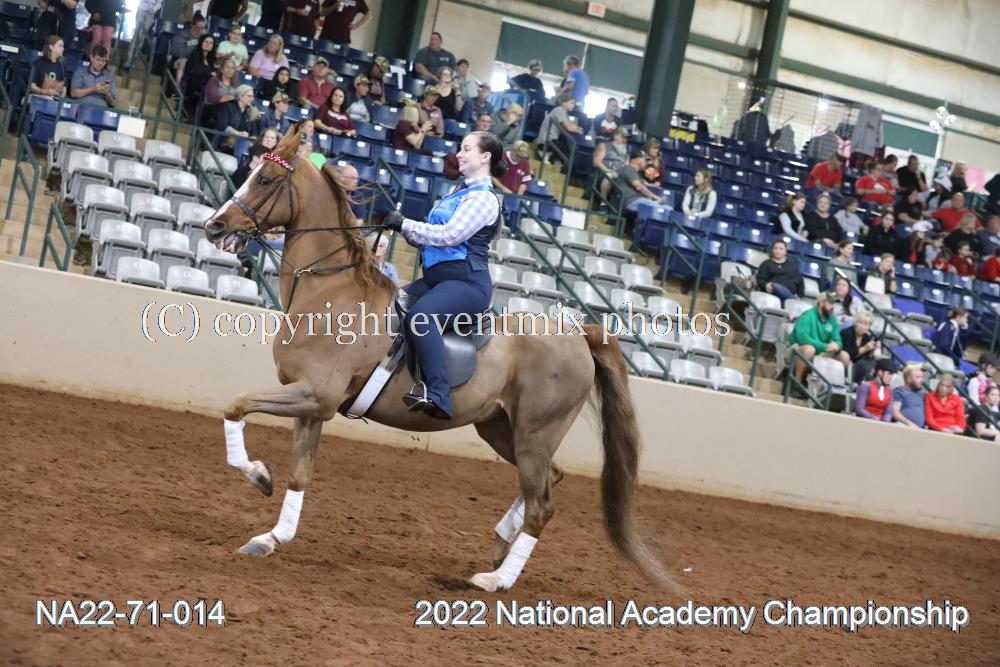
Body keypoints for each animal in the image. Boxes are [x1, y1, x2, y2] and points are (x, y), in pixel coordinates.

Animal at [203, 128, 669, 592]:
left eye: (265, 179)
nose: (214, 225)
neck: (330, 292)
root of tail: (577, 335)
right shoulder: (312, 406)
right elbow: (299, 472)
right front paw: (270, 537)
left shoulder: (316, 396)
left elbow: (236, 406)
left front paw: (258, 476)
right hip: (501, 429)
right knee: (550, 481)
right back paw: (501, 542)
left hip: (535, 434)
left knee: (542, 506)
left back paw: (496, 578)